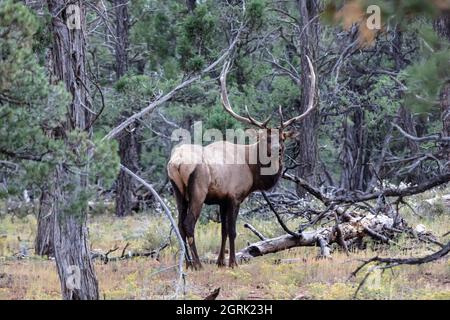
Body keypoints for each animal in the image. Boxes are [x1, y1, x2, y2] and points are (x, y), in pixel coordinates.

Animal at [168, 57, 316, 268]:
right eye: (265, 138)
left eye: (282, 138)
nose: (277, 150)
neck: (253, 171)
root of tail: (177, 162)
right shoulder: (234, 196)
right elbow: (232, 230)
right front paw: (233, 263)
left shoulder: (222, 199)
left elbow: (222, 230)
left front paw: (220, 262)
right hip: (198, 189)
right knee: (189, 224)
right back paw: (197, 264)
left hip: (178, 191)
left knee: (179, 224)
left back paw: (187, 263)